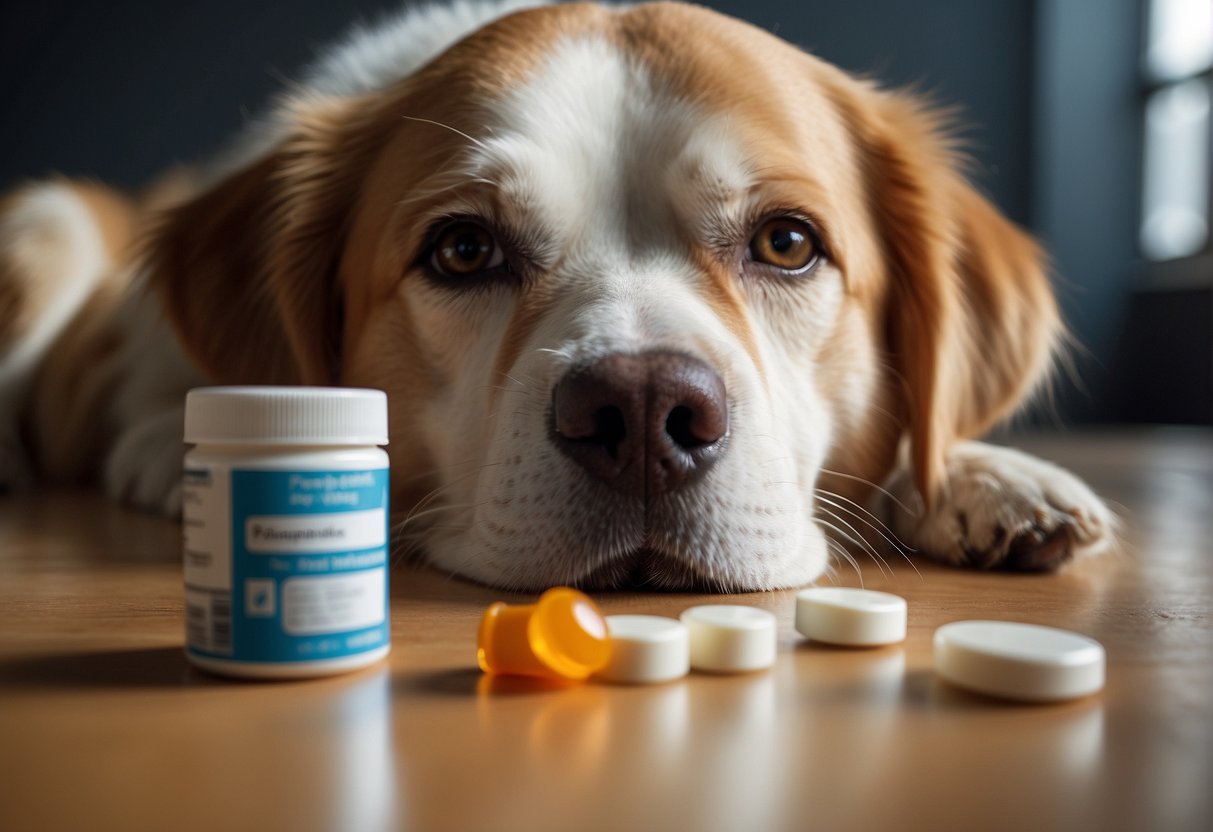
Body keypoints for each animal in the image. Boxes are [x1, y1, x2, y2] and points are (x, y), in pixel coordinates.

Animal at [0, 0, 1111, 589]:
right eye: (461, 250)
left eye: (787, 243)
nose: (646, 411)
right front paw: (167, 441)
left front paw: (982, 477)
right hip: (47, 226)